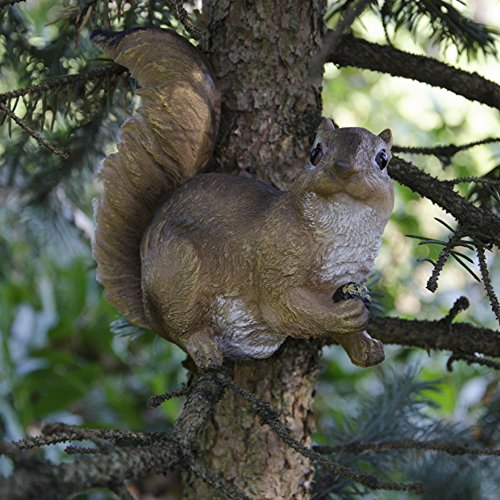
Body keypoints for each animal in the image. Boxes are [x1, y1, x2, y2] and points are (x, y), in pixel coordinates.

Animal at [90, 28, 394, 372]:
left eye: (383, 159)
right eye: (315, 152)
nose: (342, 168)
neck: (344, 224)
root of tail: (147, 305)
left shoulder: (345, 277)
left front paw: (365, 345)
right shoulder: (275, 255)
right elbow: (283, 305)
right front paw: (344, 316)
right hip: (178, 273)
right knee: (181, 330)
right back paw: (204, 348)